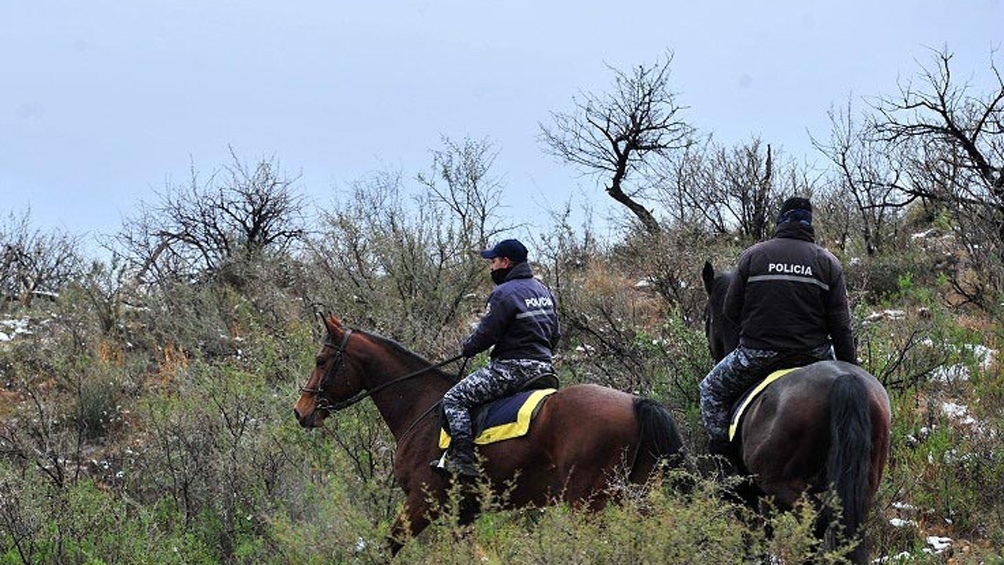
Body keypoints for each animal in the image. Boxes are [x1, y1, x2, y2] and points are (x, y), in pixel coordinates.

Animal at [291, 319, 682, 557]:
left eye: (321, 360)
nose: (301, 410)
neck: (422, 404)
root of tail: (635, 401)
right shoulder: (463, 513)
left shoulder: (421, 502)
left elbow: (387, 547)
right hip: (638, 495)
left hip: (589, 503)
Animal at [702, 262, 891, 561]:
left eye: (706, 316)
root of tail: (844, 379)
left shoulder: (752, 496)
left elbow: (755, 536)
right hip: (865, 482)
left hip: (781, 484)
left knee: (816, 521)